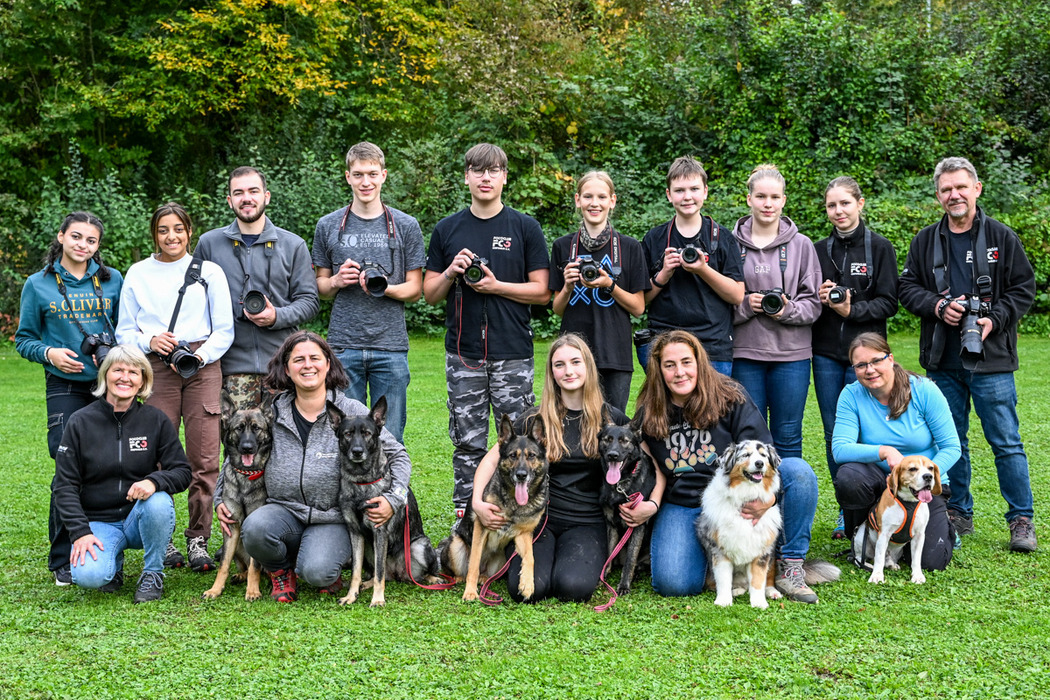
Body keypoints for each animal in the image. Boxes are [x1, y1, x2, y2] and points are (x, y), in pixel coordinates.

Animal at [202, 392, 273, 600]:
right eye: (239, 428)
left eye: (256, 428)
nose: (247, 447)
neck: (246, 475)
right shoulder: (232, 527)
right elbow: (223, 565)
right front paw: (215, 589)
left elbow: (255, 566)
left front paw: (253, 590)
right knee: (243, 565)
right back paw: (240, 575)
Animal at [329, 398, 440, 608]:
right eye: (348, 434)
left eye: (367, 433)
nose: (357, 452)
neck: (361, 481)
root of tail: (398, 573)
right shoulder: (356, 534)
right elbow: (356, 571)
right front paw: (351, 595)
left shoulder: (379, 532)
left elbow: (379, 573)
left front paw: (378, 599)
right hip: (369, 549)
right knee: (378, 574)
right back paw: (365, 584)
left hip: (419, 545)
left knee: (415, 574)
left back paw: (432, 578)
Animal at [436, 415, 550, 604]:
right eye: (512, 456)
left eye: (531, 456)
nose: (521, 475)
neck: (513, 503)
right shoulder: (481, 528)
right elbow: (474, 563)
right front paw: (470, 592)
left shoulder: (523, 534)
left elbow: (530, 557)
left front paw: (527, 584)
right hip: (455, 545)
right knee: (460, 570)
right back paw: (460, 579)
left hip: (502, 558)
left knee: (486, 574)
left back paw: (484, 579)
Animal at [600, 421, 655, 596]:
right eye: (608, 439)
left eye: (625, 441)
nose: (612, 455)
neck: (620, 485)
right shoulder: (611, 524)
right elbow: (609, 552)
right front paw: (603, 576)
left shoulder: (637, 526)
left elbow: (631, 558)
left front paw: (624, 585)